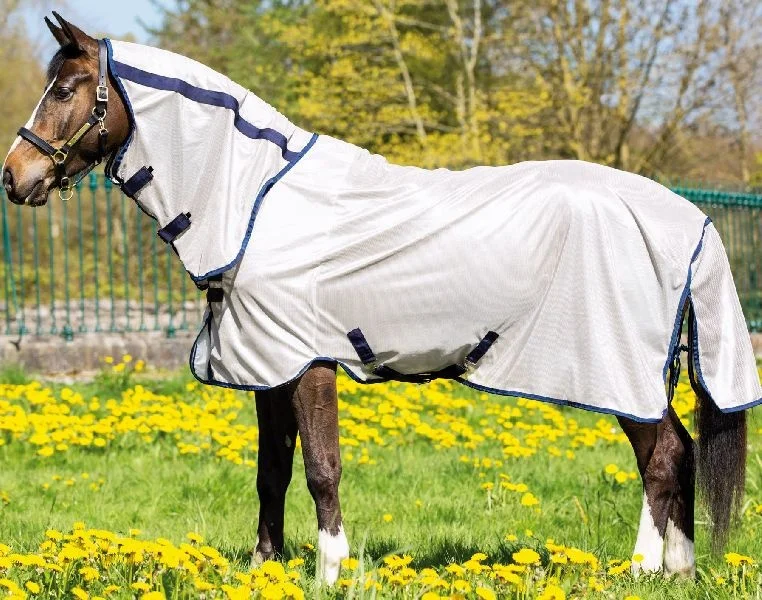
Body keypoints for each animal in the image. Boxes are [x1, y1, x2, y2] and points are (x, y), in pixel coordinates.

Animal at [3, 13, 760, 585]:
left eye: (66, 88)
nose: (15, 175)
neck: (256, 200)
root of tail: (685, 216)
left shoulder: (307, 362)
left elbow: (321, 469)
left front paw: (330, 571)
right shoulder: (267, 365)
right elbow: (271, 472)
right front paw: (267, 569)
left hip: (619, 370)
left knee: (661, 458)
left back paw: (642, 568)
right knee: (680, 452)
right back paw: (678, 569)